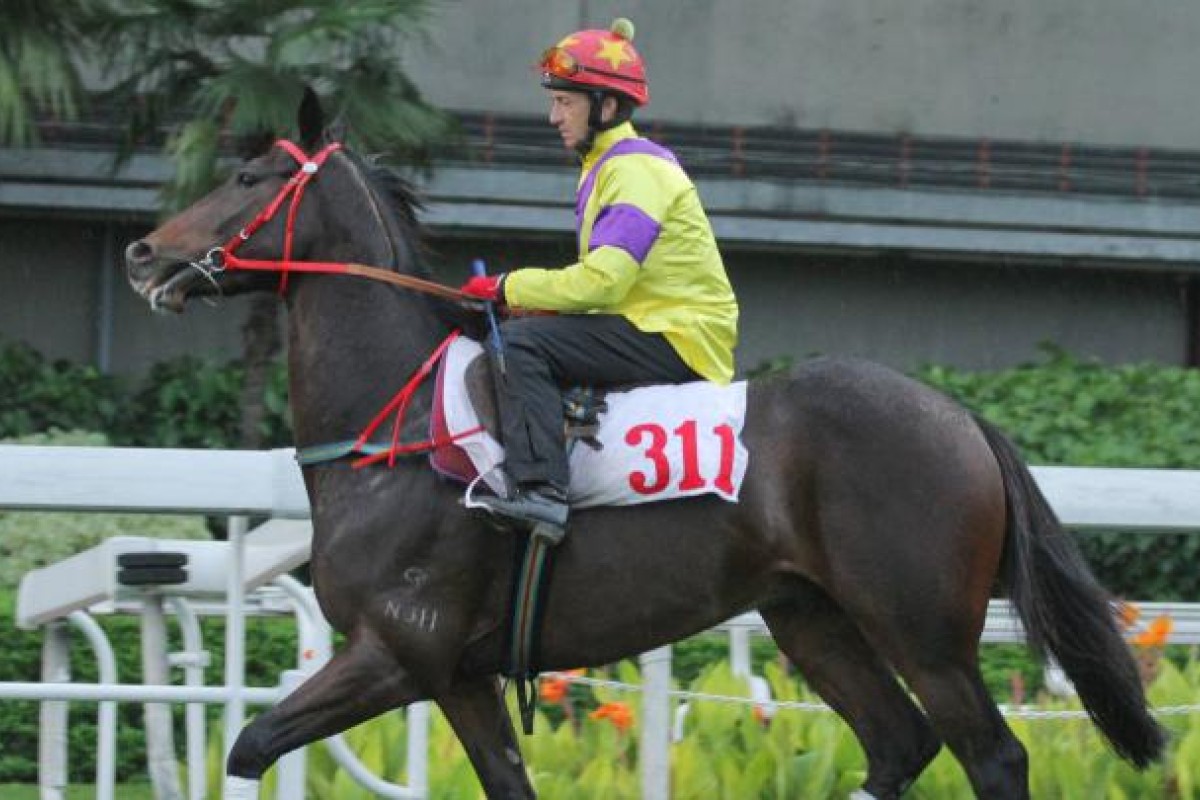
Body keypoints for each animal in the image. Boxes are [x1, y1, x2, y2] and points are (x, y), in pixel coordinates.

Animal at [124, 92, 1161, 796]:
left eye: (247, 179)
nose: (143, 253)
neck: (399, 428)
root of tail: (962, 419)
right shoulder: (459, 676)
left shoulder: (395, 650)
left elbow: (249, 745)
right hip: (810, 617)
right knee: (898, 746)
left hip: (923, 630)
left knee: (994, 756)